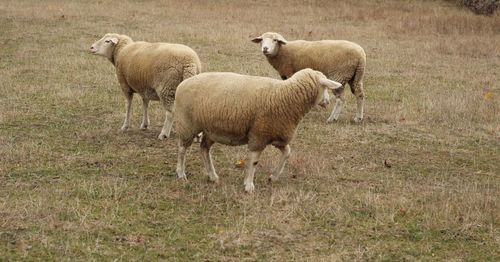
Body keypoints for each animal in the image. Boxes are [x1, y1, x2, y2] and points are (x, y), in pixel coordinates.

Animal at [174, 68, 342, 192]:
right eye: (325, 87)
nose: (327, 102)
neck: (286, 95)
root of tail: (182, 84)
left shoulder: (276, 135)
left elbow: (287, 153)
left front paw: (273, 177)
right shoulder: (259, 134)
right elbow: (254, 161)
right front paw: (249, 185)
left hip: (210, 130)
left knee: (204, 149)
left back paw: (212, 176)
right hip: (187, 124)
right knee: (182, 149)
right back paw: (181, 173)